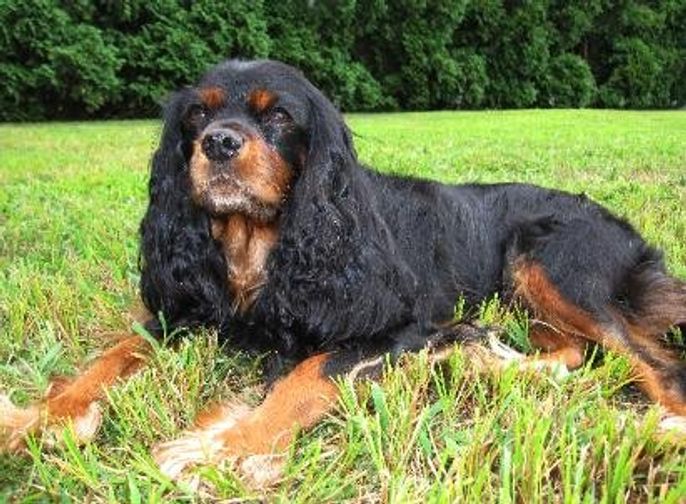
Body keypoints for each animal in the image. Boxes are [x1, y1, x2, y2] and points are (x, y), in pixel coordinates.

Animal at [2, 59, 686, 482]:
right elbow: (113, 355)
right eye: (196, 114)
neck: (261, 243)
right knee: (569, 351)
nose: (219, 143)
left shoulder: (399, 326)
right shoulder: (185, 310)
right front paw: (44, 418)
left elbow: (308, 376)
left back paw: (660, 430)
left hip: (546, 262)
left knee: (651, 361)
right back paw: (480, 357)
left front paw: (222, 447)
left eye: (278, 116)